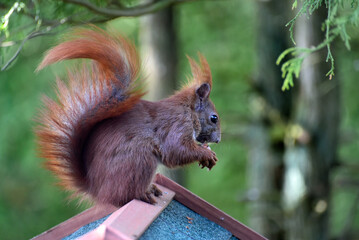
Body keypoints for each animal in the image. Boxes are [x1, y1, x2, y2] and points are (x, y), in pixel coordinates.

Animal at [36, 26, 222, 206]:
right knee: (124, 195)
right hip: (140, 159)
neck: (188, 110)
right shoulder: (177, 124)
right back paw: (144, 193)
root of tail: (96, 190)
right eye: (214, 118)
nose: (218, 140)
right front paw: (206, 154)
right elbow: (176, 150)